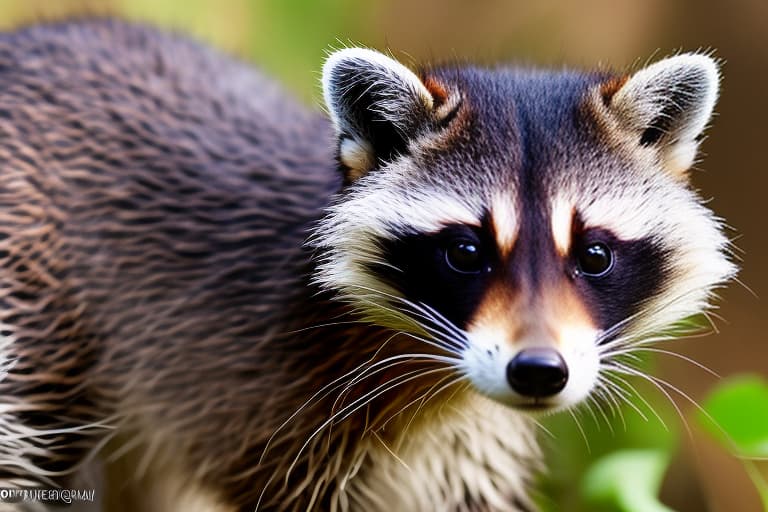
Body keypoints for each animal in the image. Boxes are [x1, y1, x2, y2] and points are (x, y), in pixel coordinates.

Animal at [0, 19, 736, 512]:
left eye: (594, 254)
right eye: (466, 252)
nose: (536, 371)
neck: (439, 384)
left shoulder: (470, 453)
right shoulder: (267, 411)